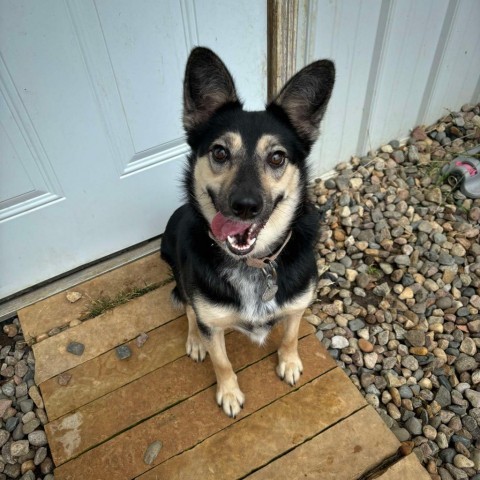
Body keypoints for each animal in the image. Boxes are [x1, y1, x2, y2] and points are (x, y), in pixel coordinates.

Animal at [161, 47, 334, 418]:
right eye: (220, 152)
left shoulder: (297, 305)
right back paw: (195, 339)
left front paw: (289, 363)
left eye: (277, 157)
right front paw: (229, 393)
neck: (255, 264)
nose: (245, 206)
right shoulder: (212, 320)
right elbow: (221, 360)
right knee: (188, 305)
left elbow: (290, 334)